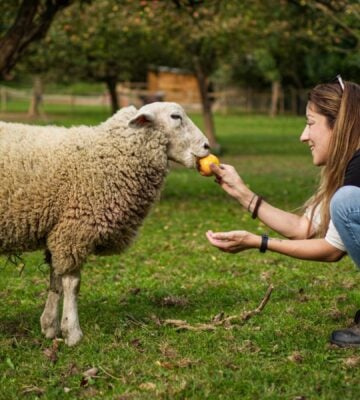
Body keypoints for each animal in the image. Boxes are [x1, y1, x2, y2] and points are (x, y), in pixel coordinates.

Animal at [0, 101, 210, 346]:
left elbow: (55, 280)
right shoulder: (75, 230)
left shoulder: (60, 230)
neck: (105, 154)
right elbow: (72, 283)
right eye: (175, 117)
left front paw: (50, 326)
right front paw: (72, 332)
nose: (207, 146)